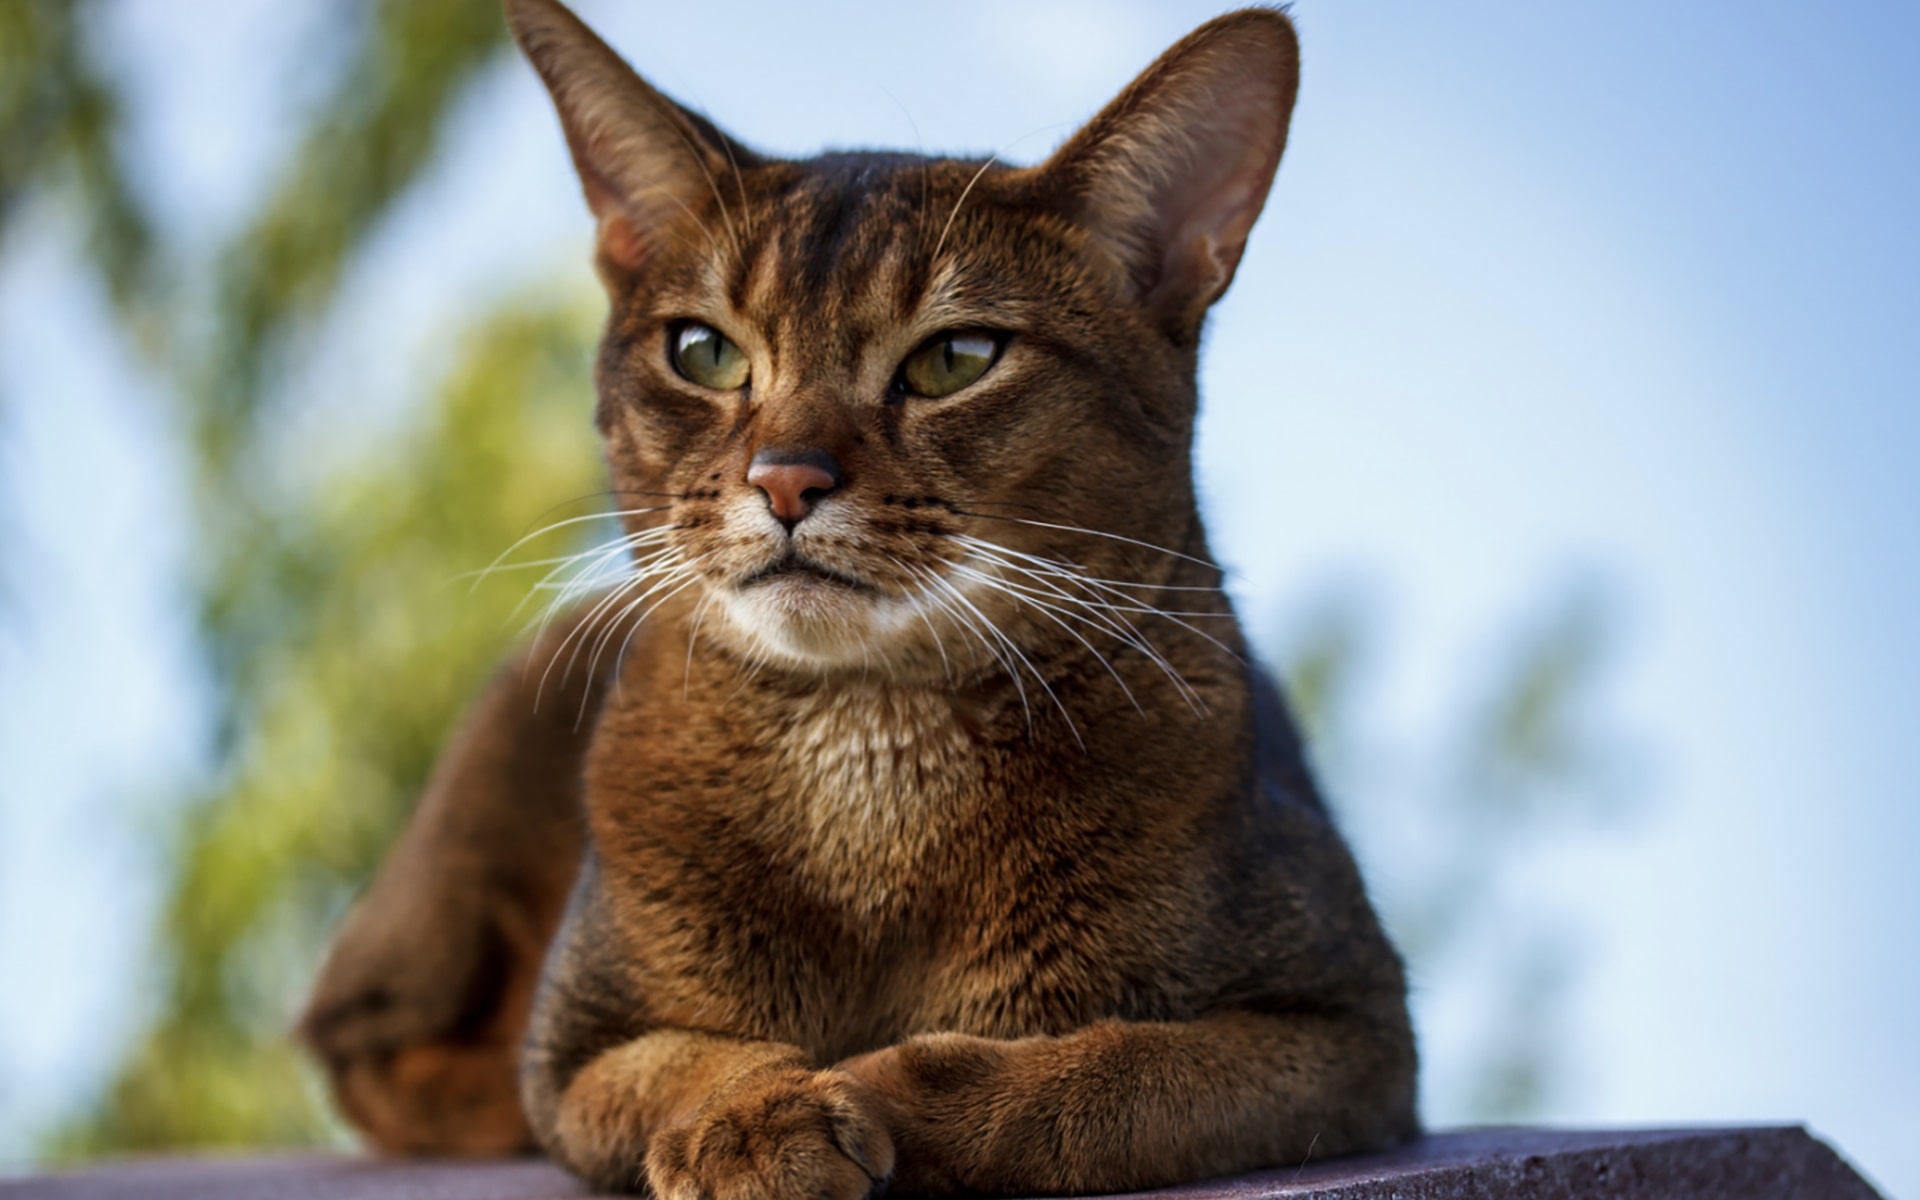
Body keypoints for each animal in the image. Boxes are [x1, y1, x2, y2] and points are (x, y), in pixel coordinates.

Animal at [295, 2, 1413, 1190]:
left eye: (958, 357)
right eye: (703, 352)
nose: (785, 478)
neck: (868, 756)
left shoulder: (1355, 1031)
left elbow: (1110, 1076)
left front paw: (898, 1091)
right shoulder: (575, 1044)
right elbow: (678, 1060)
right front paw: (753, 1115)